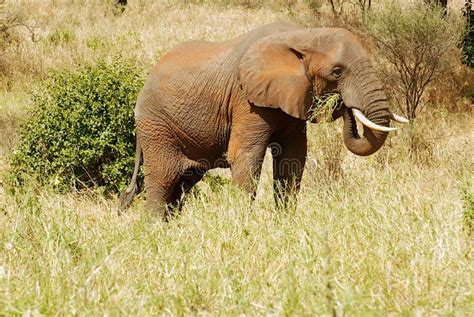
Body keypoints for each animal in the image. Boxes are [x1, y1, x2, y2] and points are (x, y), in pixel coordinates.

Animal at [119, 20, 408, 217]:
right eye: (337, 72)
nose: (344, 105)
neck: (303, 35)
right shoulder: (245, 99)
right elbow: (246, 155)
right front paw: (242, 225)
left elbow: (294, 157)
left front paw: (286, 222)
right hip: (156, 125)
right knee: (163, 181)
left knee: (182, 185)